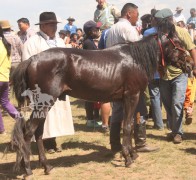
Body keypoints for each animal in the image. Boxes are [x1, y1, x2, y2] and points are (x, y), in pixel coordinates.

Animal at [11, 35, 159, 176]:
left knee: (39, 132)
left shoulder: (125, 100)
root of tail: (32, 59)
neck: (135, 58)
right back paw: (28, 169)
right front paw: (128, 158)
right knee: (29, 131)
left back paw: (46, 166)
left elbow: (130, 126)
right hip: (44, 104)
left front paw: (132, 154)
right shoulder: (132, 97)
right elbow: (127, 127)